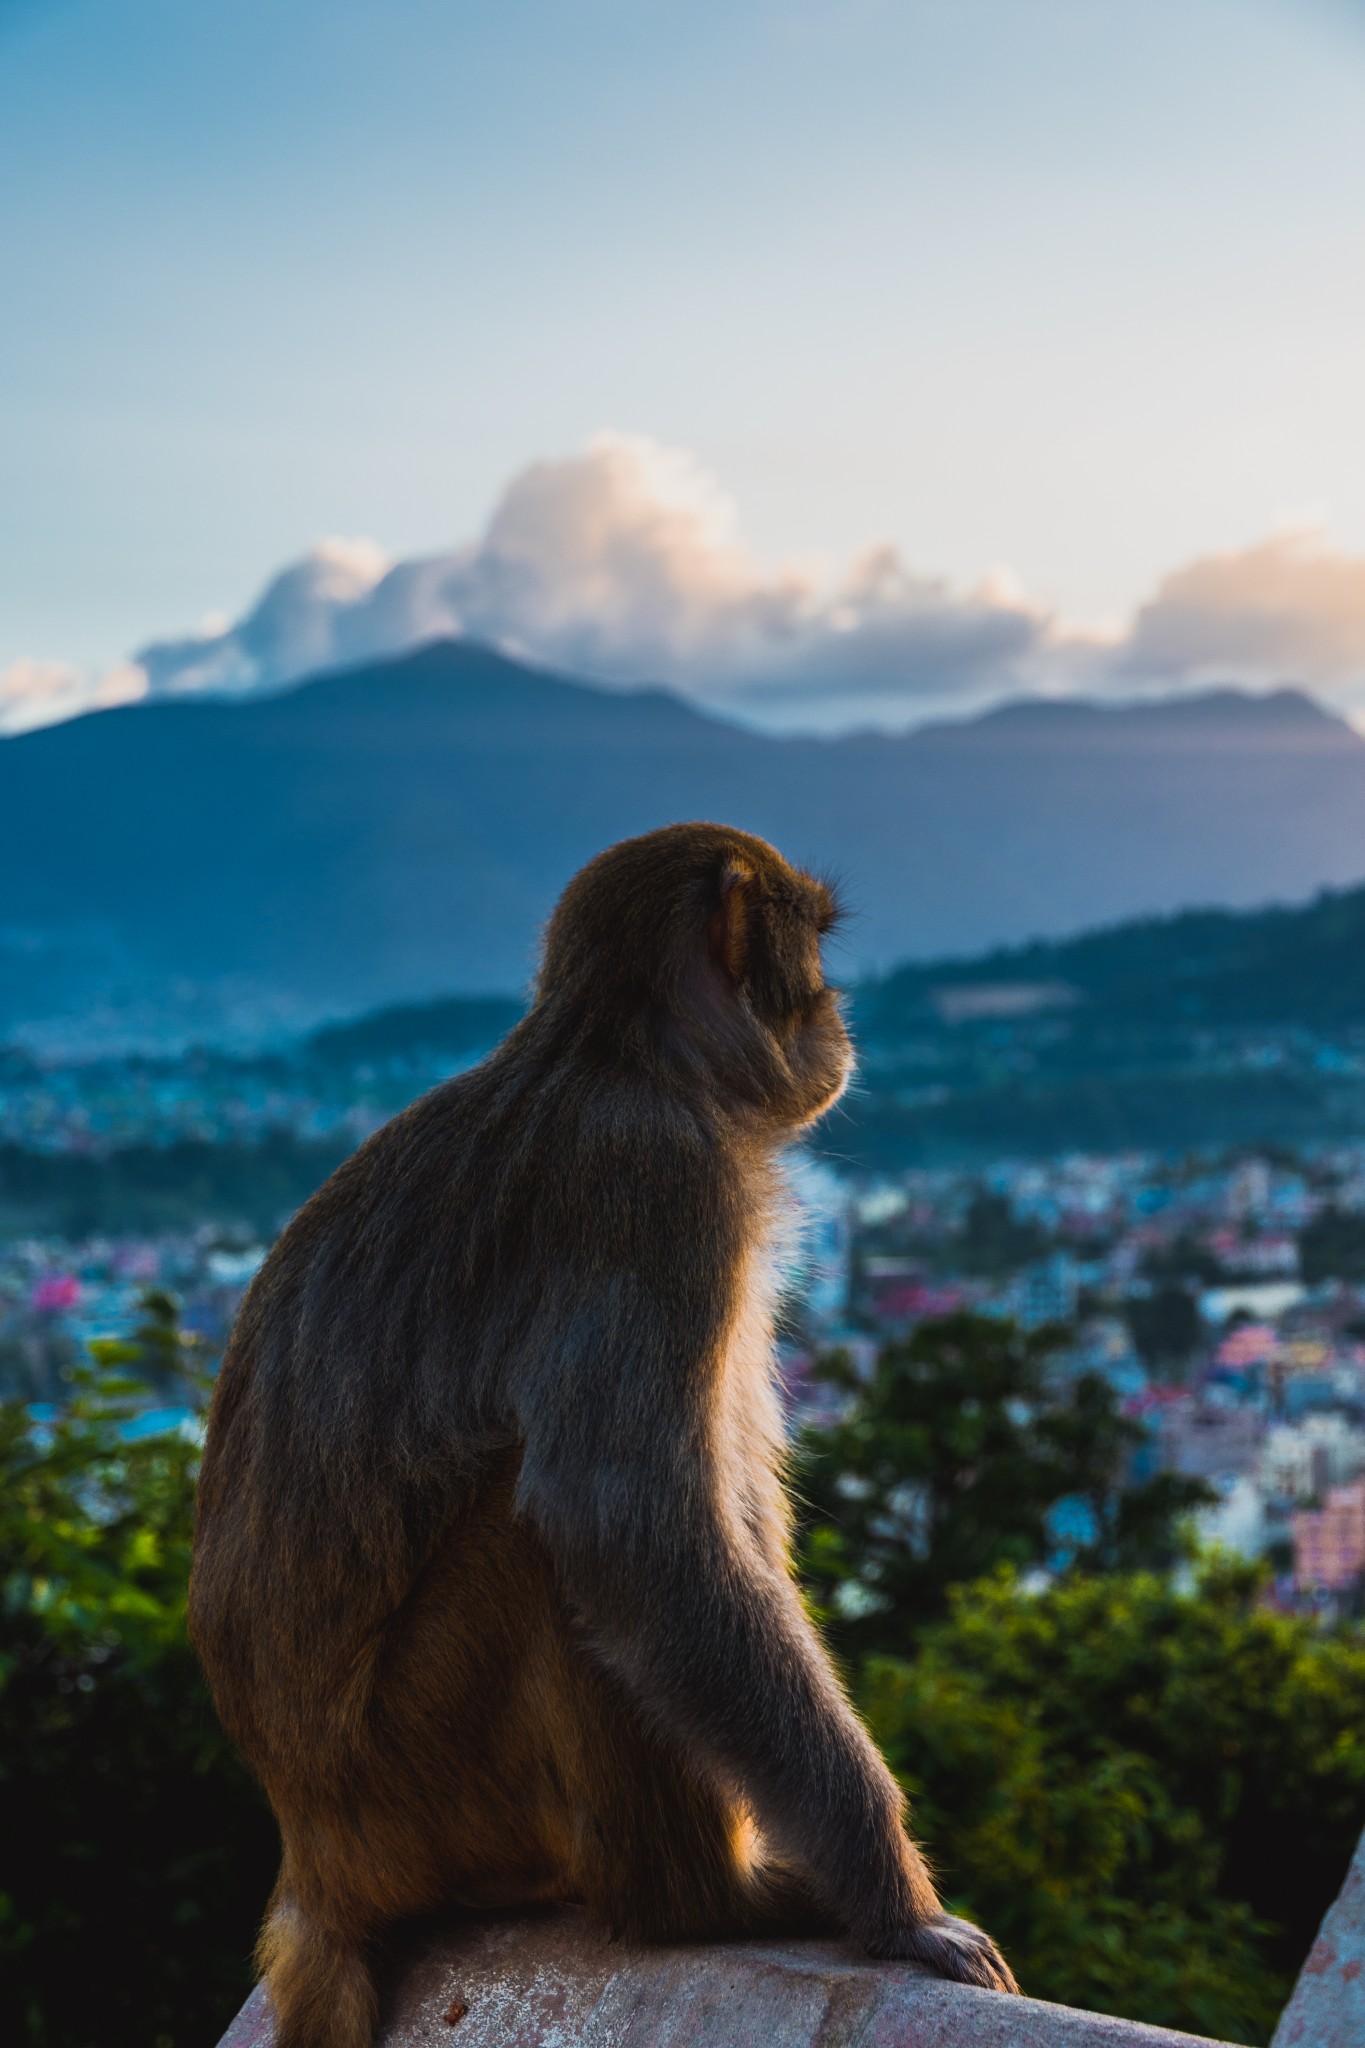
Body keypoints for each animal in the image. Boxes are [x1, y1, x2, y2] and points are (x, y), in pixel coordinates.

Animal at [194, 819, 1023, 2048]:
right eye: (811, 946)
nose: (838, 1010)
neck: (622, 1058)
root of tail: (316, 1859)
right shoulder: (660, 1185)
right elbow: (632, 1530)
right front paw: (895, 1900)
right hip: (431, 1771)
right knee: (549, 1548)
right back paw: (699, 1897)